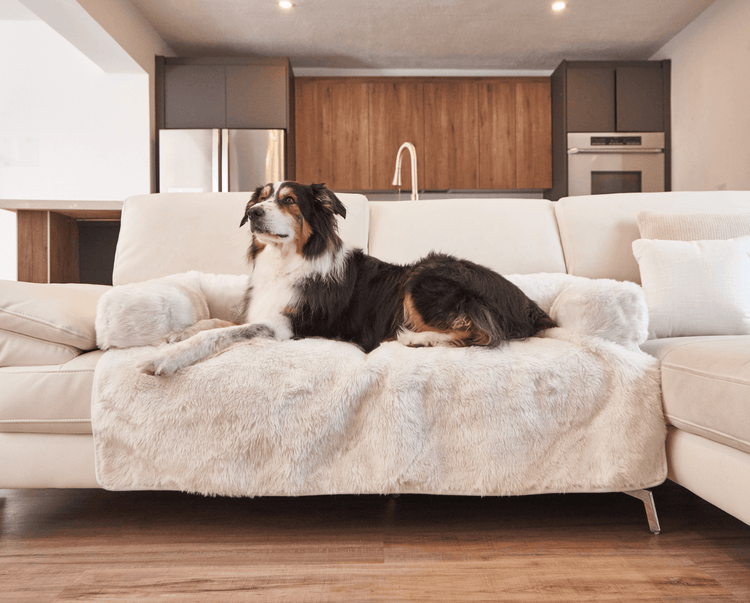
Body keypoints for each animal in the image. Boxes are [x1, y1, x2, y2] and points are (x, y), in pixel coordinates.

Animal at [137, 182, 560, 376]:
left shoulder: (287, 326)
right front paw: (178, 333)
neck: (288, 261)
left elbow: (222, 333)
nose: (254, 212)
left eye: (289, 200)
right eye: (261, 197)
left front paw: (167, 358)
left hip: (422, 278)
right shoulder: (261, 310)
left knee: (484, 333)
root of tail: (529, 305)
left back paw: (417, 338)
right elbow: (216, 321)